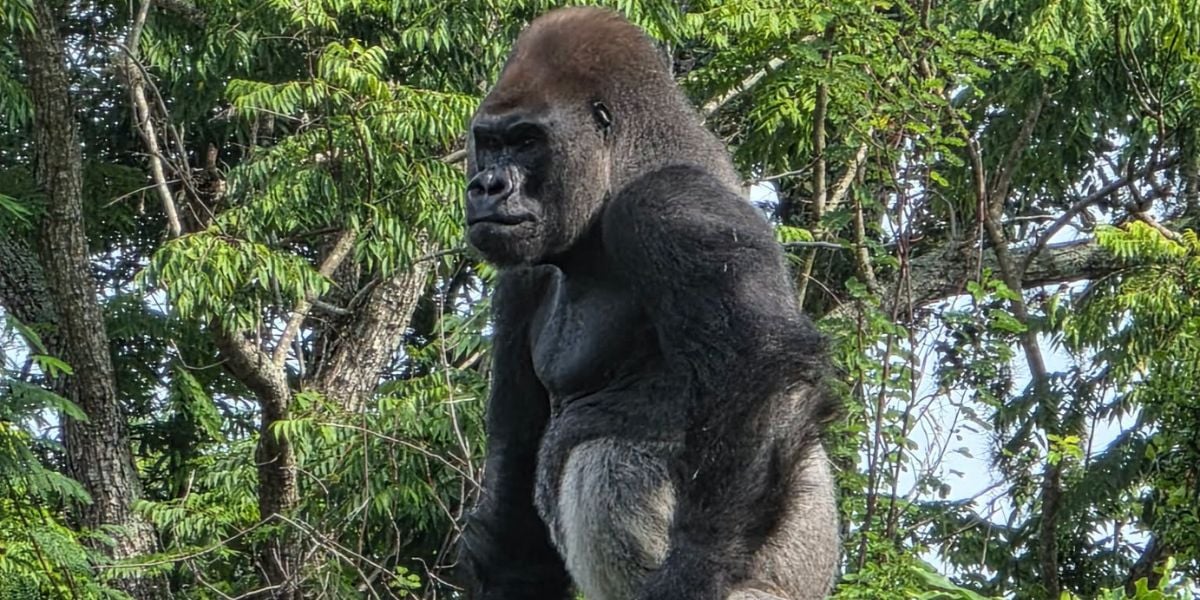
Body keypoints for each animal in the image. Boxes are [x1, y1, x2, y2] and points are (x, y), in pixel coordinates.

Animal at [457, 7, 840, 600]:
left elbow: (760, 370)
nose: (486, 186)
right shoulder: (523, 278)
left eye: (525, 142)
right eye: (491, 143)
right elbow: (514, 453)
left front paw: (696, 568)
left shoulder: (672, 208)